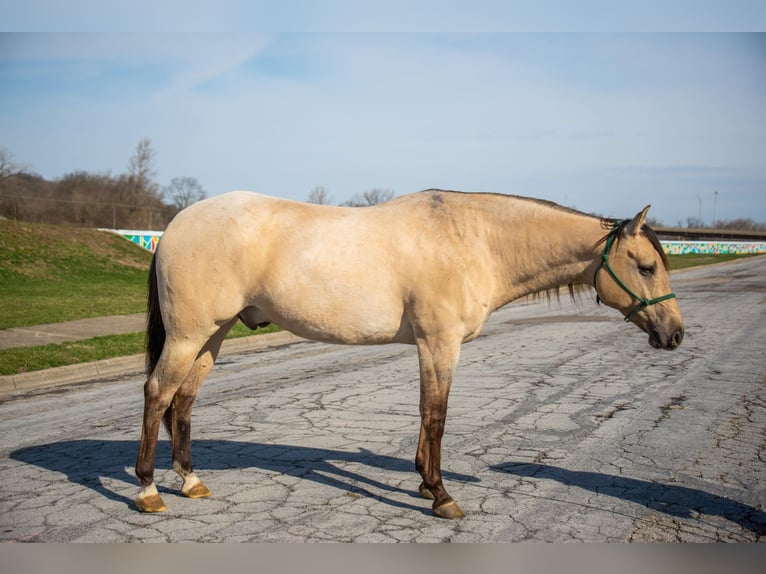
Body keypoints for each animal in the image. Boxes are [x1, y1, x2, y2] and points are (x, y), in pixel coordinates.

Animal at [135, 190, 688, 520]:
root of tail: (176, 224)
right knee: (158, 395)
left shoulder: (429, 346)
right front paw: (442, 496)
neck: (472, 240)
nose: (676, 334)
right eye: (645, 267)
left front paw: (424, 484)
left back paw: (191, 481)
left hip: (213, 334)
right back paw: (148, 491)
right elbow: (437, 415)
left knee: (184, 401)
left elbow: (425, 416)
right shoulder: (440, 344)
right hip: (189, 335)